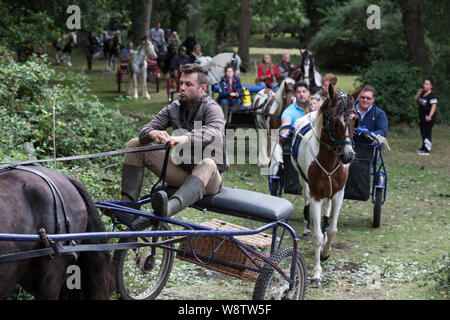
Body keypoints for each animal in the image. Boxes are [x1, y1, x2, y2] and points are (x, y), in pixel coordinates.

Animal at [292, 85, 358, 288]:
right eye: (333, 120)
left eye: (355, 118)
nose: (348, 155)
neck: (329, 160)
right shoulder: (315, 195)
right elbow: (318, 237)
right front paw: (316, 274)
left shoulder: (339, 194)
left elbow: (332, 230)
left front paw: (326, 252)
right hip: (304, 183)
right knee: (306, 203)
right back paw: (308, 226)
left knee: (327, 211)